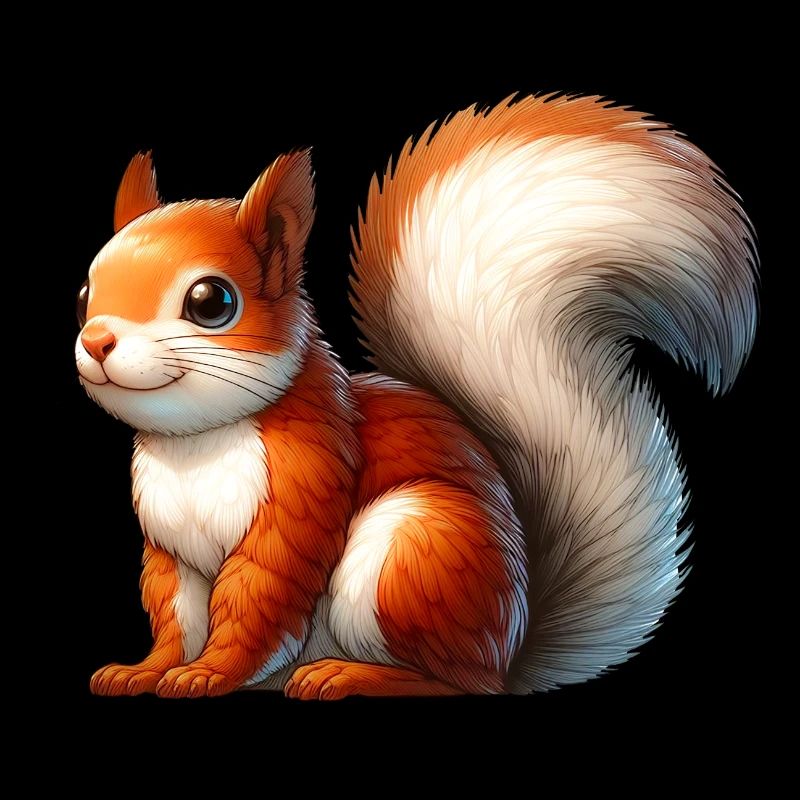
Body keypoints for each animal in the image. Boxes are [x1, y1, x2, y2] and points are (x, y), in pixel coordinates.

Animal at [77, 94, 757, 699]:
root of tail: (509, 654)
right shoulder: (170, 548)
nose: (96, 340)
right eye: (85, 292)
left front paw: (209, 674)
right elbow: (174, 613)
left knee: (455, 684)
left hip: (414, 549)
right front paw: (145, 670)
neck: (196, 445)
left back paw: (352, 676)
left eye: (211, 301)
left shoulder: (302, 490)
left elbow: (260, 597)